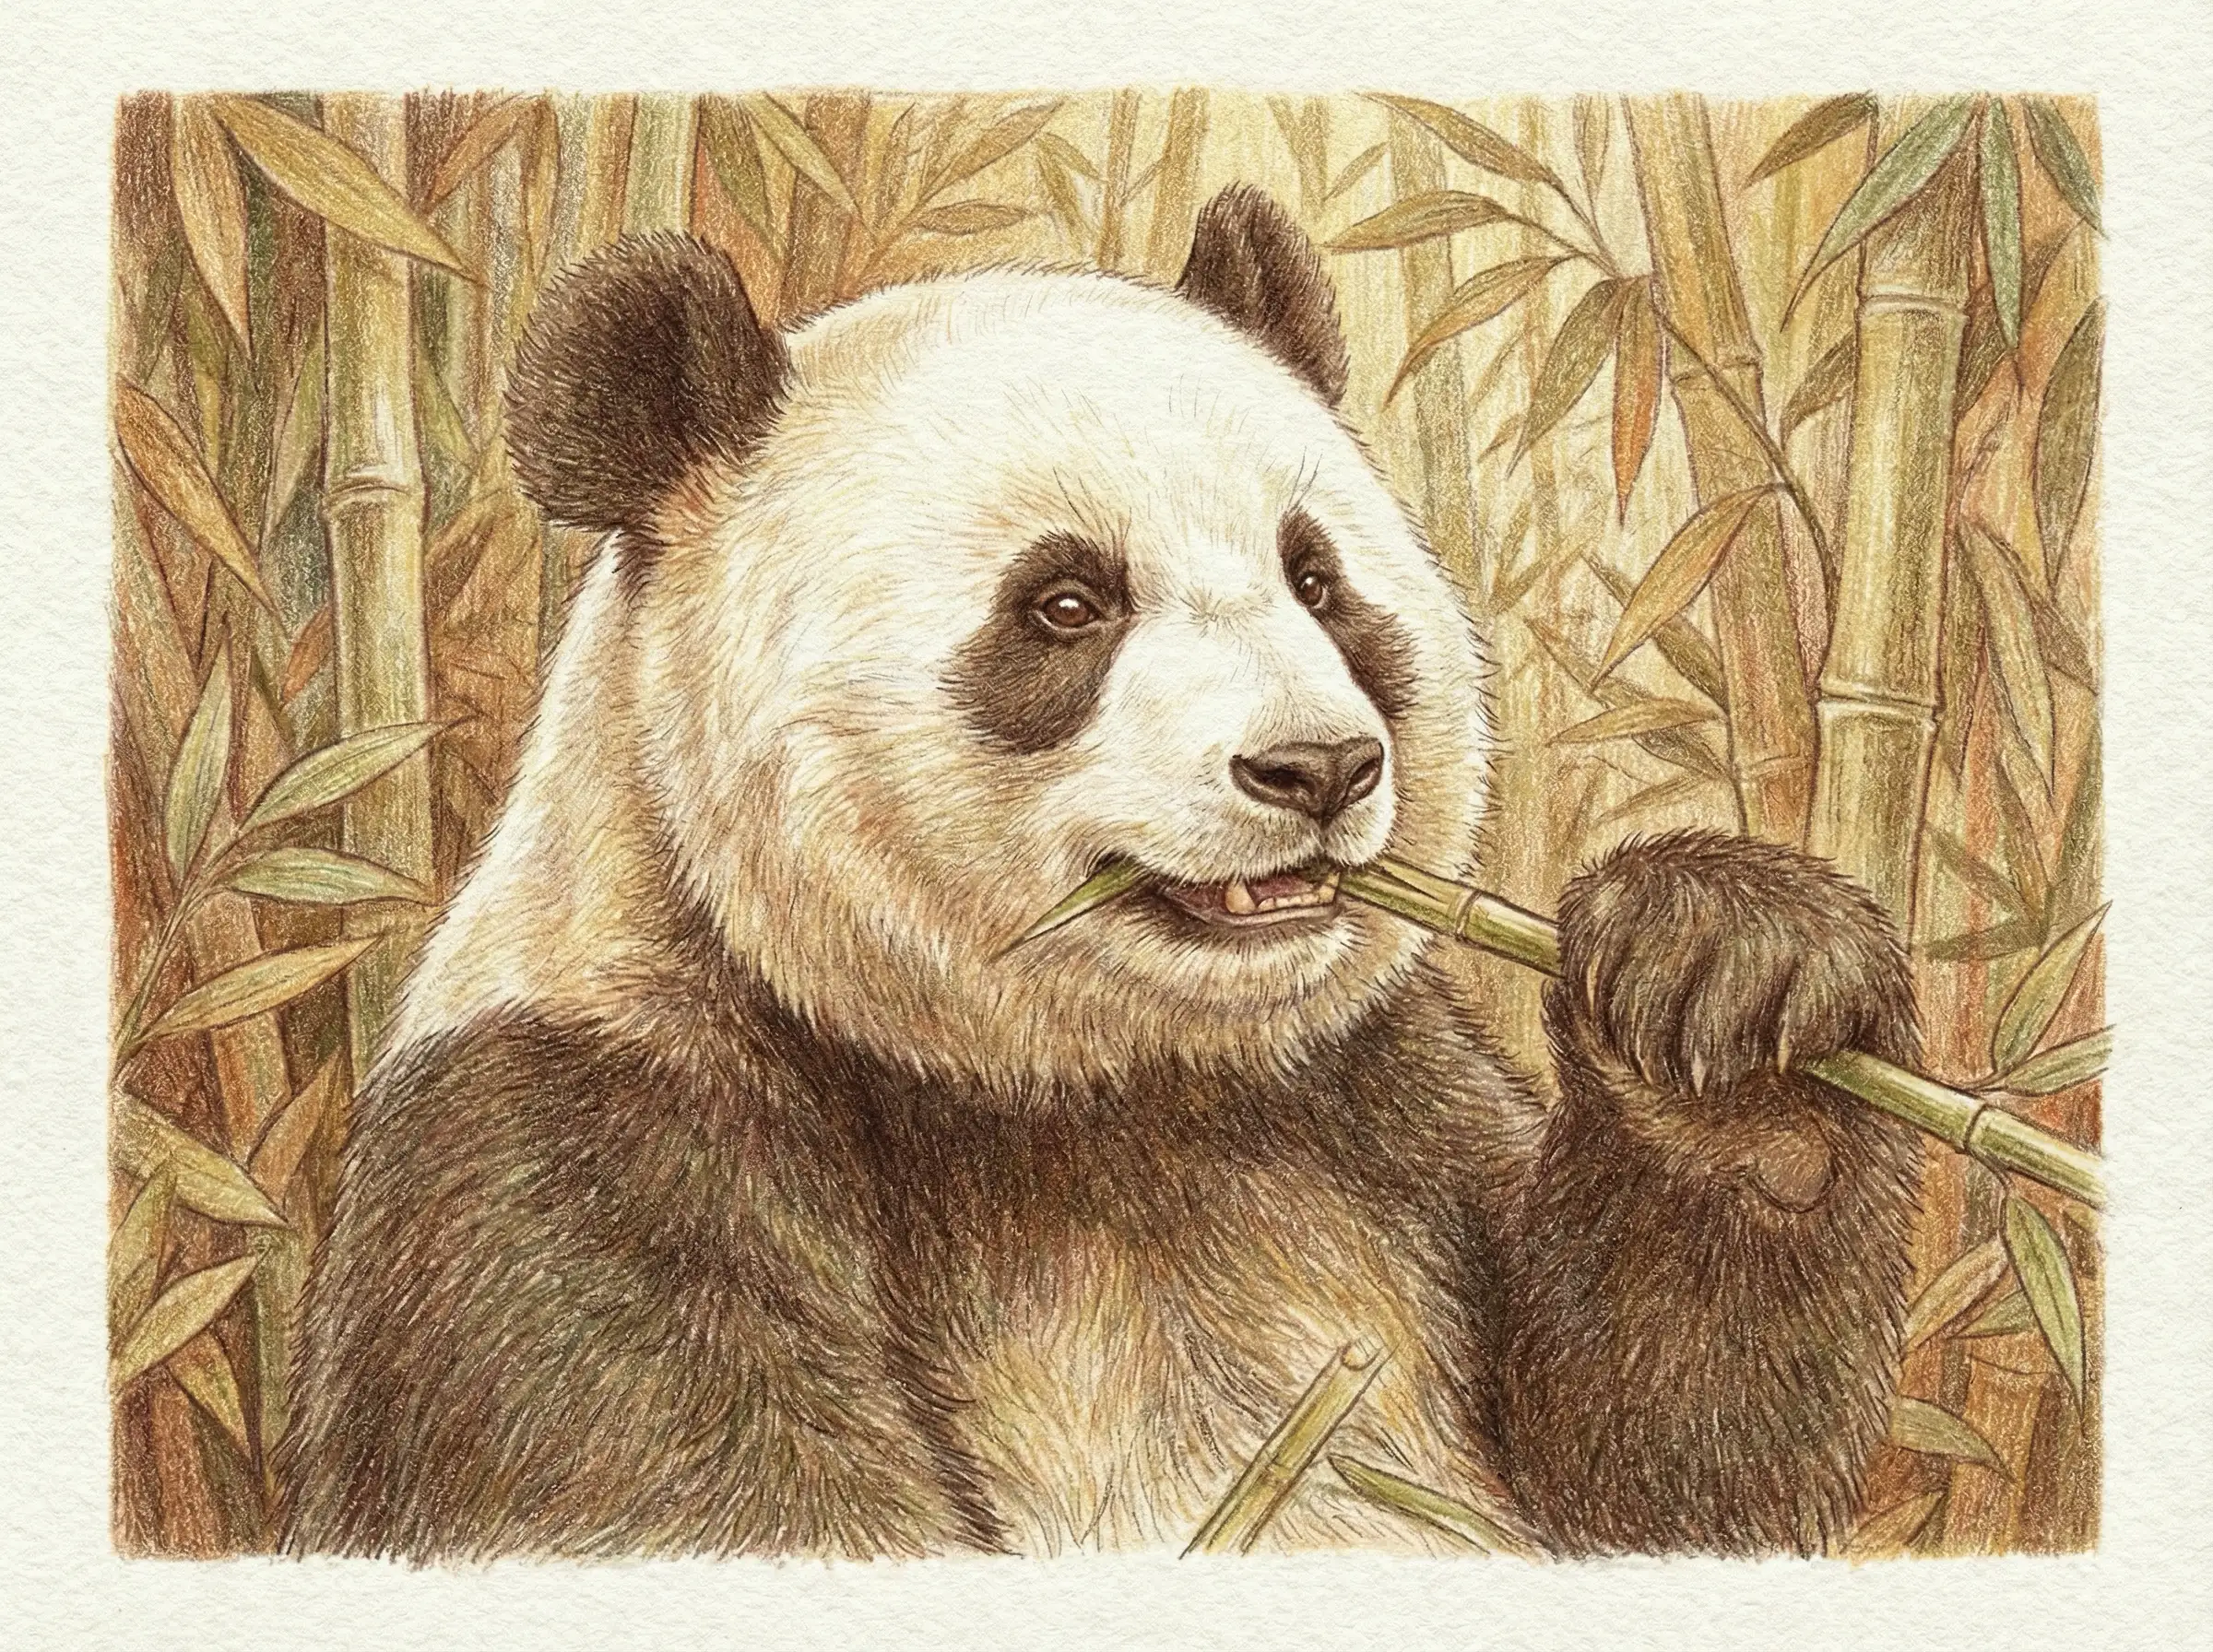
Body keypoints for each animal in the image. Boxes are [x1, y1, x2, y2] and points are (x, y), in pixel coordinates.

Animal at [282, 186, 1921, 1560]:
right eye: (1068, 603)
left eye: (1318, 578)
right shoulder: (568, 1161)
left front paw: (1730, 993)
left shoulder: (1379, 1103)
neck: (1086, 1106)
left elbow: (1655, 1467)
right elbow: (693, 1486)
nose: (1318, 768)